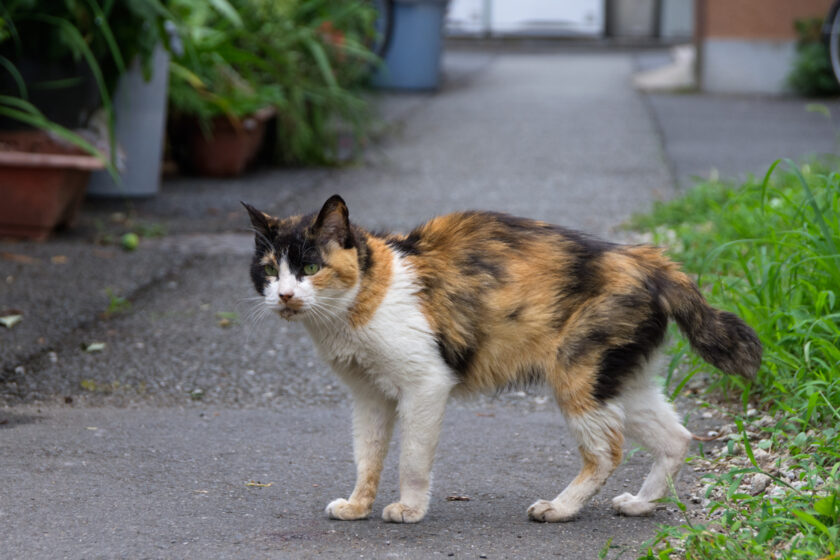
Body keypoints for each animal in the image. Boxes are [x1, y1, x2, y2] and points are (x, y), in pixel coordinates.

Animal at [243, 195, 760, 524]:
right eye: (269, 271)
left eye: (311, 267)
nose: (285, 296)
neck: (358, 302)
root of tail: (645, 258)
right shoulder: (368, 397)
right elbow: (366, 457)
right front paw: (358, 506)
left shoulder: (425, 384)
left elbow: (411, 458)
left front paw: (409, 510)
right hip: (619, 380)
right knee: (677, 438)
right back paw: (639, 504)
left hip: (577, 374)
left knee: (606, 450)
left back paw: (561, 509)